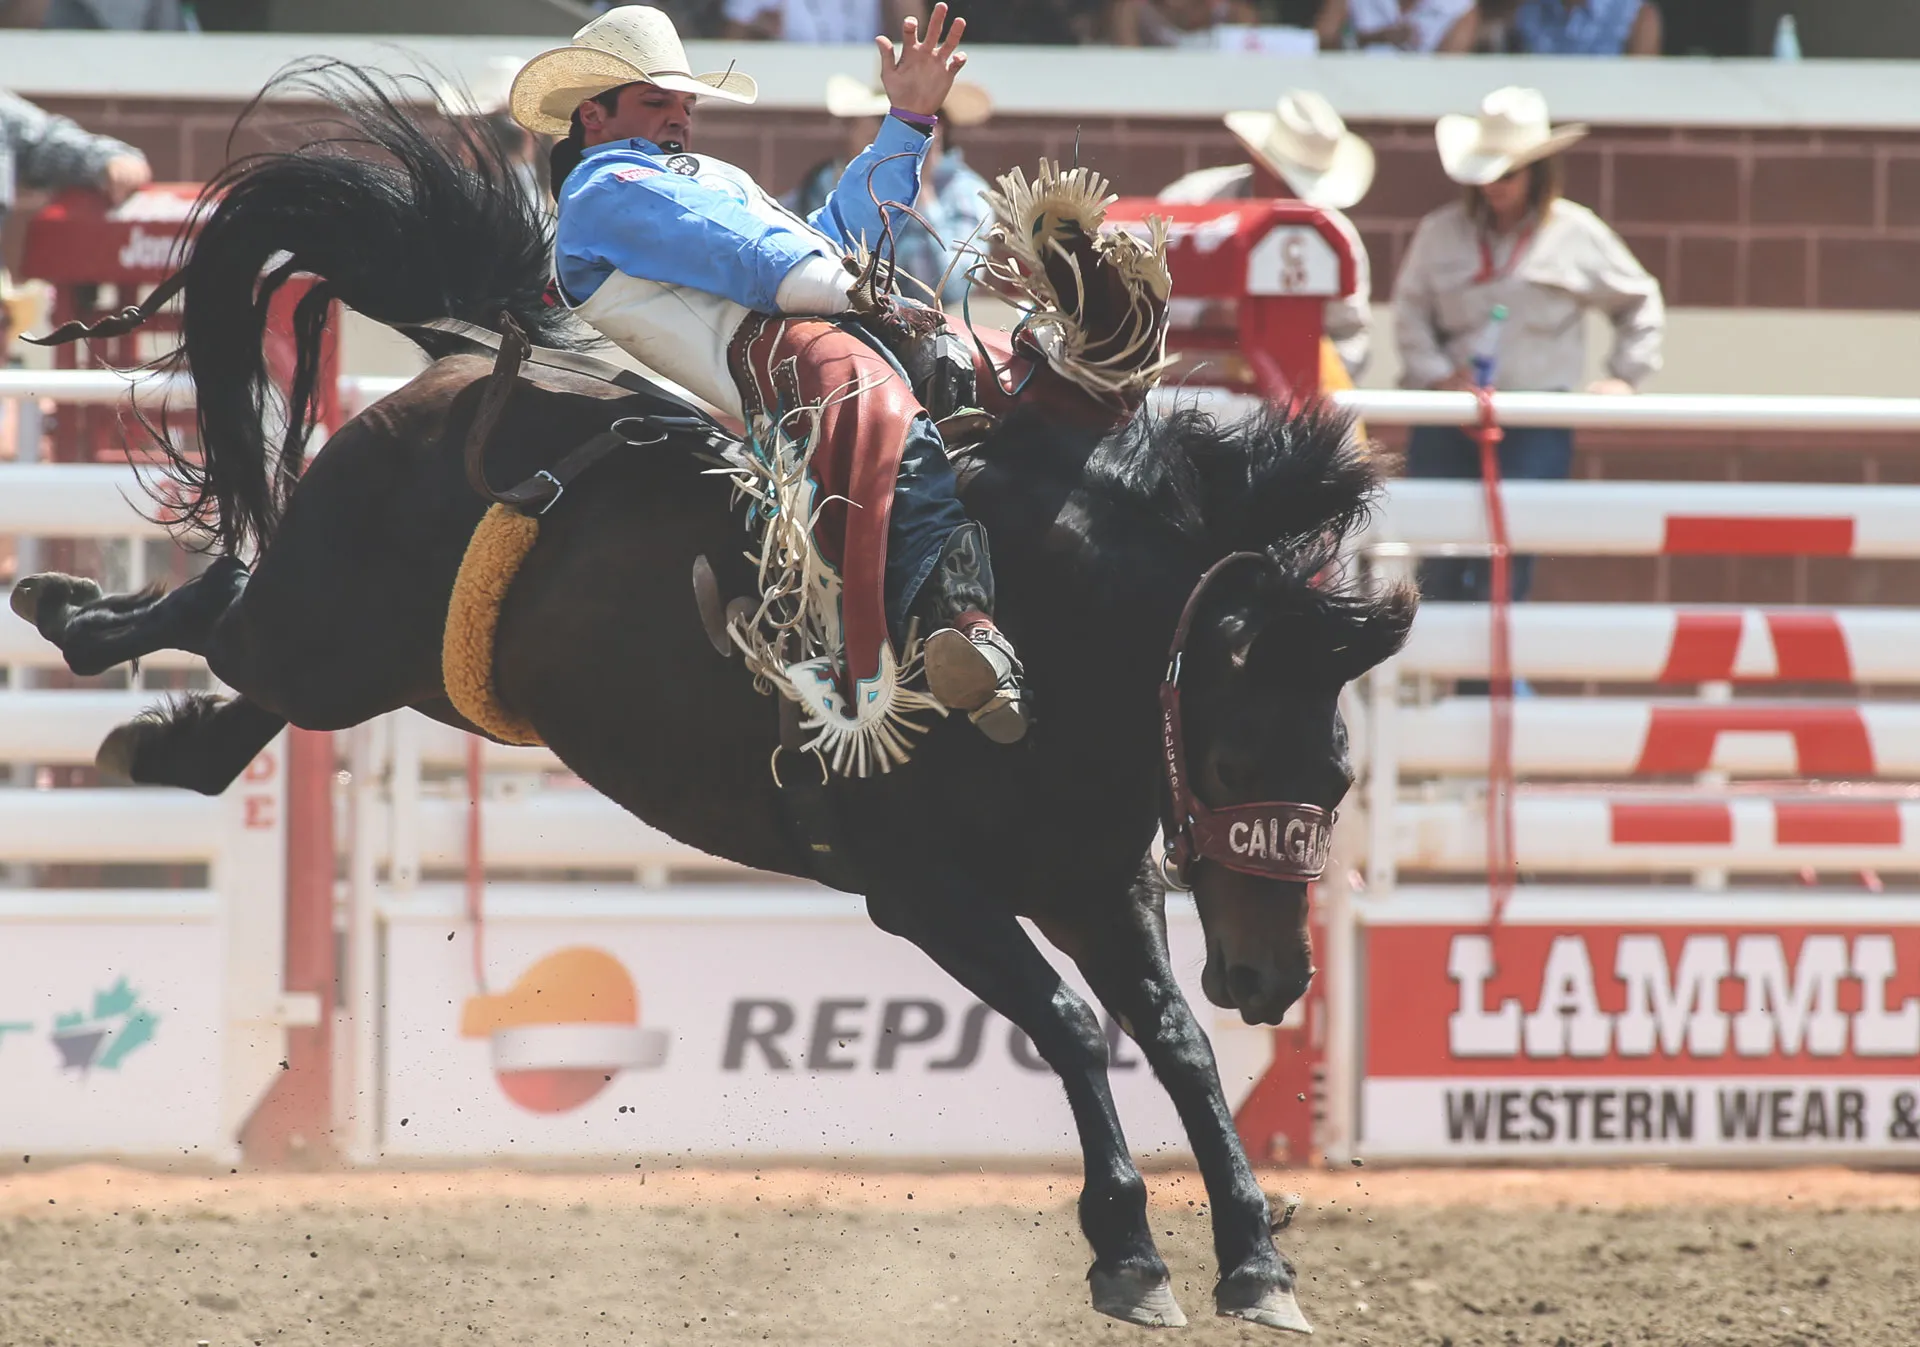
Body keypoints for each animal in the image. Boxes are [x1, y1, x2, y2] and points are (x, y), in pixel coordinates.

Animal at [15, 66, 1413, 1343]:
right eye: (1233, 756)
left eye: (1336, 777)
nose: (1274, 977)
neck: (1045, 635)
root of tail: (460, 353)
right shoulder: (925, 893)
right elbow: (1073, 1030)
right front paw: (1127, 1250)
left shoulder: (1096, 883)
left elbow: (1174, 1043)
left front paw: (1255, 1260)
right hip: (325, 636)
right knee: (221, 610)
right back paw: (65, 613)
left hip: (381, 666)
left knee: (237, 661)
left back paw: (149, 733)